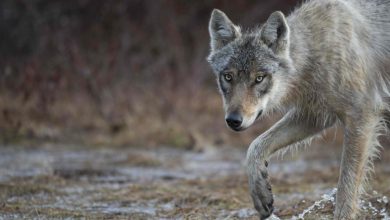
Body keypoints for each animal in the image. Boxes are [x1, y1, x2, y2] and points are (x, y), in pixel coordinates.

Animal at [206, 0, 390, 219]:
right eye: (228, 77)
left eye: (259, 78)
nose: (233, 120)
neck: (315, 53)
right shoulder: (315, 115)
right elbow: (255, 146)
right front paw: (261, 193)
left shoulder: (362, 116)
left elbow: (346, 187)